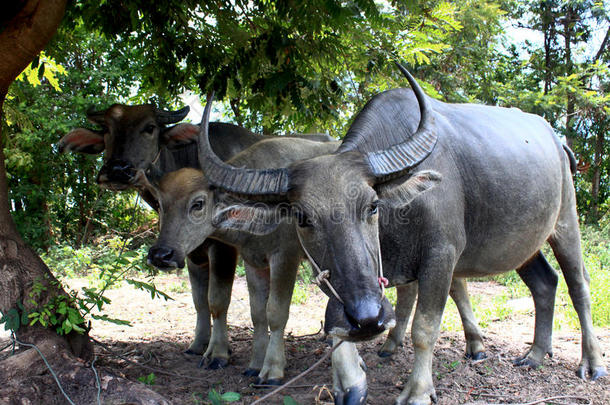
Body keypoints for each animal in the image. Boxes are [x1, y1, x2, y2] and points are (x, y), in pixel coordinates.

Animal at [192, 64, 600, 402]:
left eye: (373, 206)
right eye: (303, 218)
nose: (368, 318)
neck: (395, 224)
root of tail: (557, 139)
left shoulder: (441, 256)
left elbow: (425, 328)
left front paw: (417, 391)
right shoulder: (335, 279)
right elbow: (336, 329)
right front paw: (351, 381)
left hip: (566, 222)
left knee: (578, 286)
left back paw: (592, 363)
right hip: (524, 245)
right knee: (545, 283)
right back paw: (534, 355)